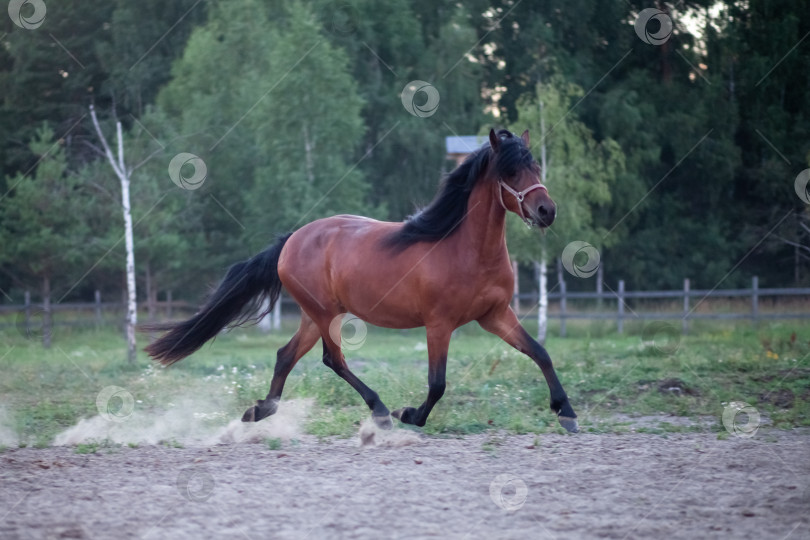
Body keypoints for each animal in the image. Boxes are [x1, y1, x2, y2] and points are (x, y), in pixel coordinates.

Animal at [144, 131, 576, 434]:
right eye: (510, 171)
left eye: (537, 167)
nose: (547, 211)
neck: (467, 250)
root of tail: (292, 239)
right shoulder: (439, 324)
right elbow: (437, 383)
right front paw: (409, 414)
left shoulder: (496, 315)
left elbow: (541, 352)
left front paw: (566, 412)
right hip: (325, 314)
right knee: (332, 359)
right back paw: (381, 411)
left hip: (313, 315)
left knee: (286, 355)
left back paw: (260, 411)